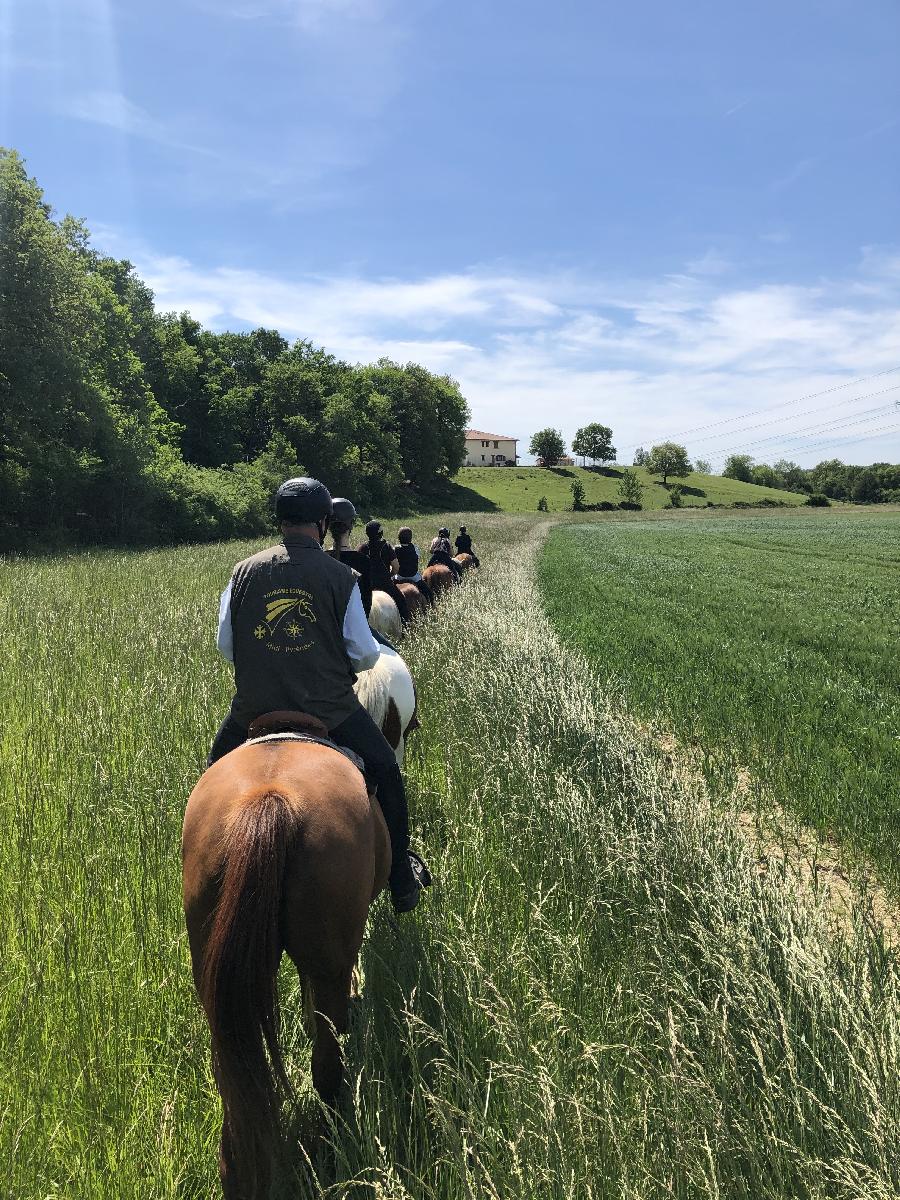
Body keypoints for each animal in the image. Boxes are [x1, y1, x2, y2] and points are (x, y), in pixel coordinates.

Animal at [183, 710, 391, 1200]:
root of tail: (269, 801)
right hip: (330, 962)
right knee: (326, 1064)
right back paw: (330, 1148)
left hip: (212, 976)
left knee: (234, 1080)